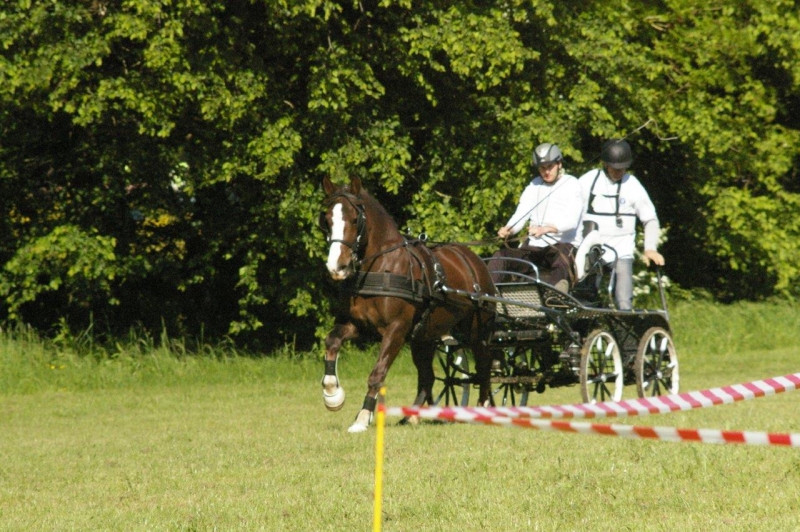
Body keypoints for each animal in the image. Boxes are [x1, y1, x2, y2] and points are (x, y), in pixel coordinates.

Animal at [318, 176, 494, 432]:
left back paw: (483, 409)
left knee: (484, 366)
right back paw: (412, 415)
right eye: (327, 220)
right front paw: (333, 396)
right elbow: (332, 341)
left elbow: (377, 374)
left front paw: (363, 417)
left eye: (355, 219)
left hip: (476, 330)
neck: (382, 267)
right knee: (428, 375)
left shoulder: (396, 329)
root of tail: (476, 262)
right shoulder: (357, 325)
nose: (337, 267)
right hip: (425, 336)